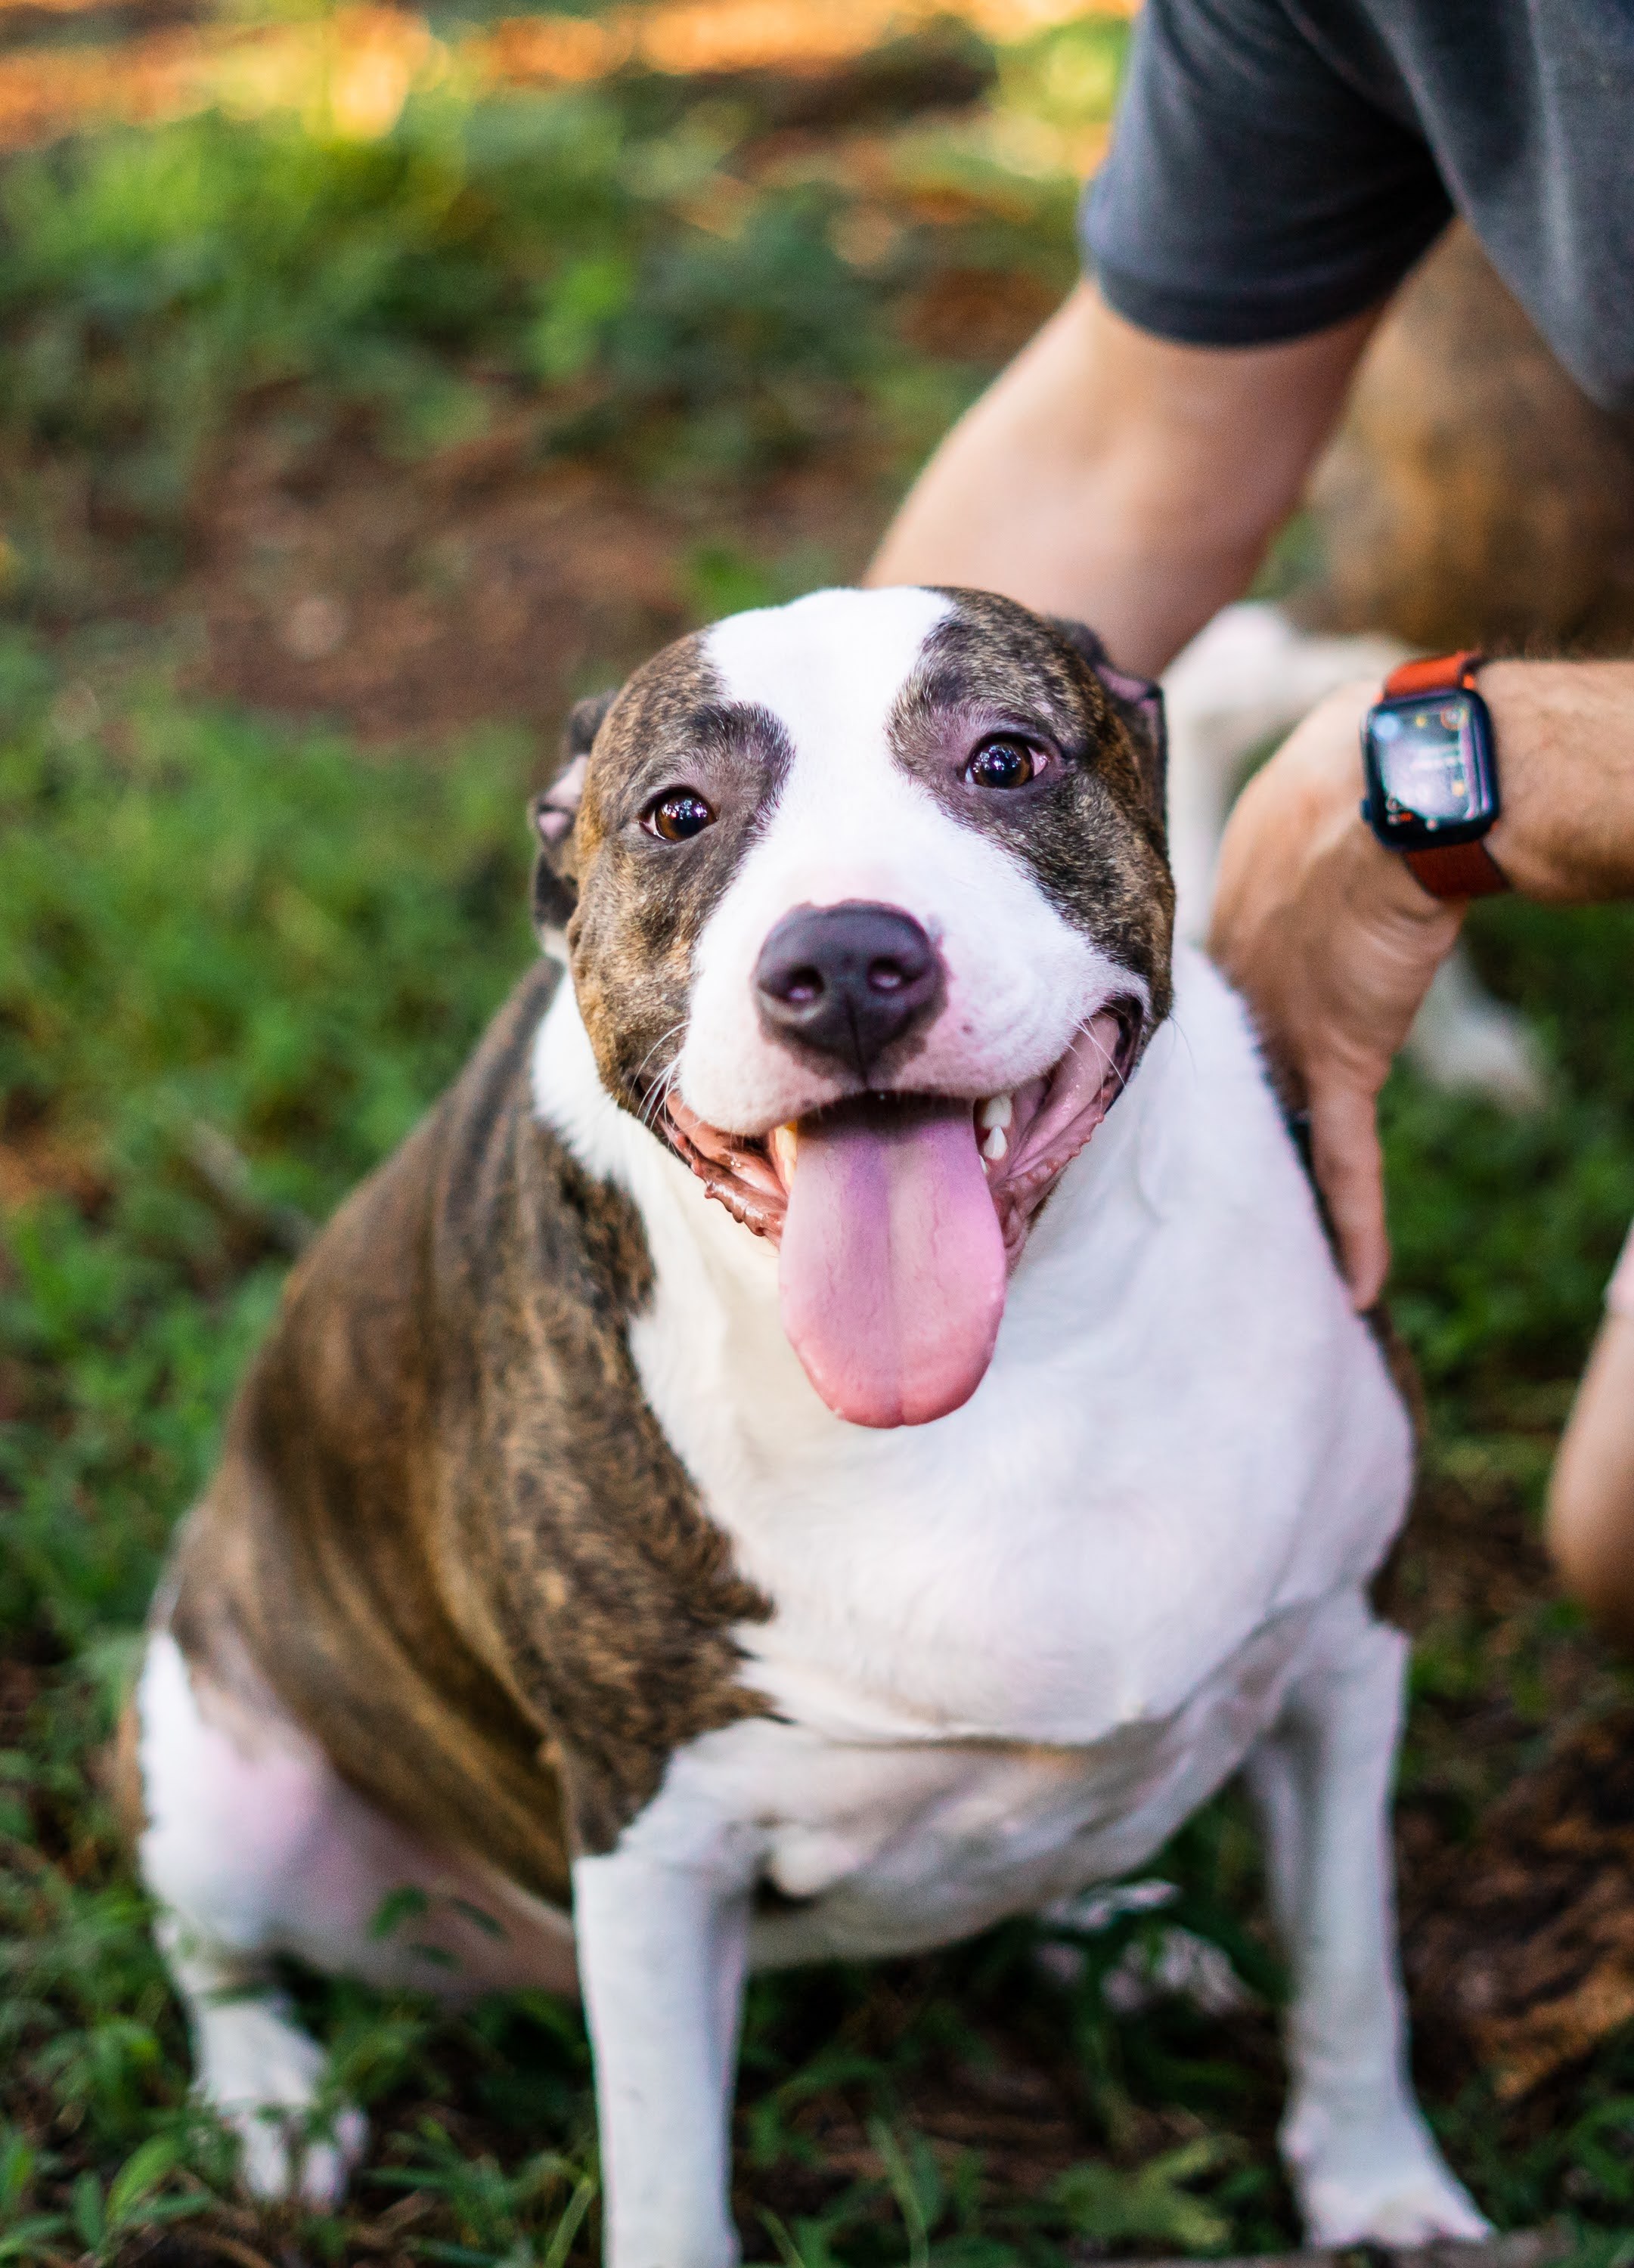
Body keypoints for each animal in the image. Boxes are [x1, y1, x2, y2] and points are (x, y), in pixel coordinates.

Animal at [127, 590, 1488, 2268]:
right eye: (676, 813)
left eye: (1006, 758)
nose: (844, 959)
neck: (1026, 1359)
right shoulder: (651, 1843)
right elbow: (665, 2173)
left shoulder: (1347, 1656)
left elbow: (1352, 1965)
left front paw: (1379, 2189)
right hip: (224, 1774)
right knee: (211, 1944)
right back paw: (270, 2099)